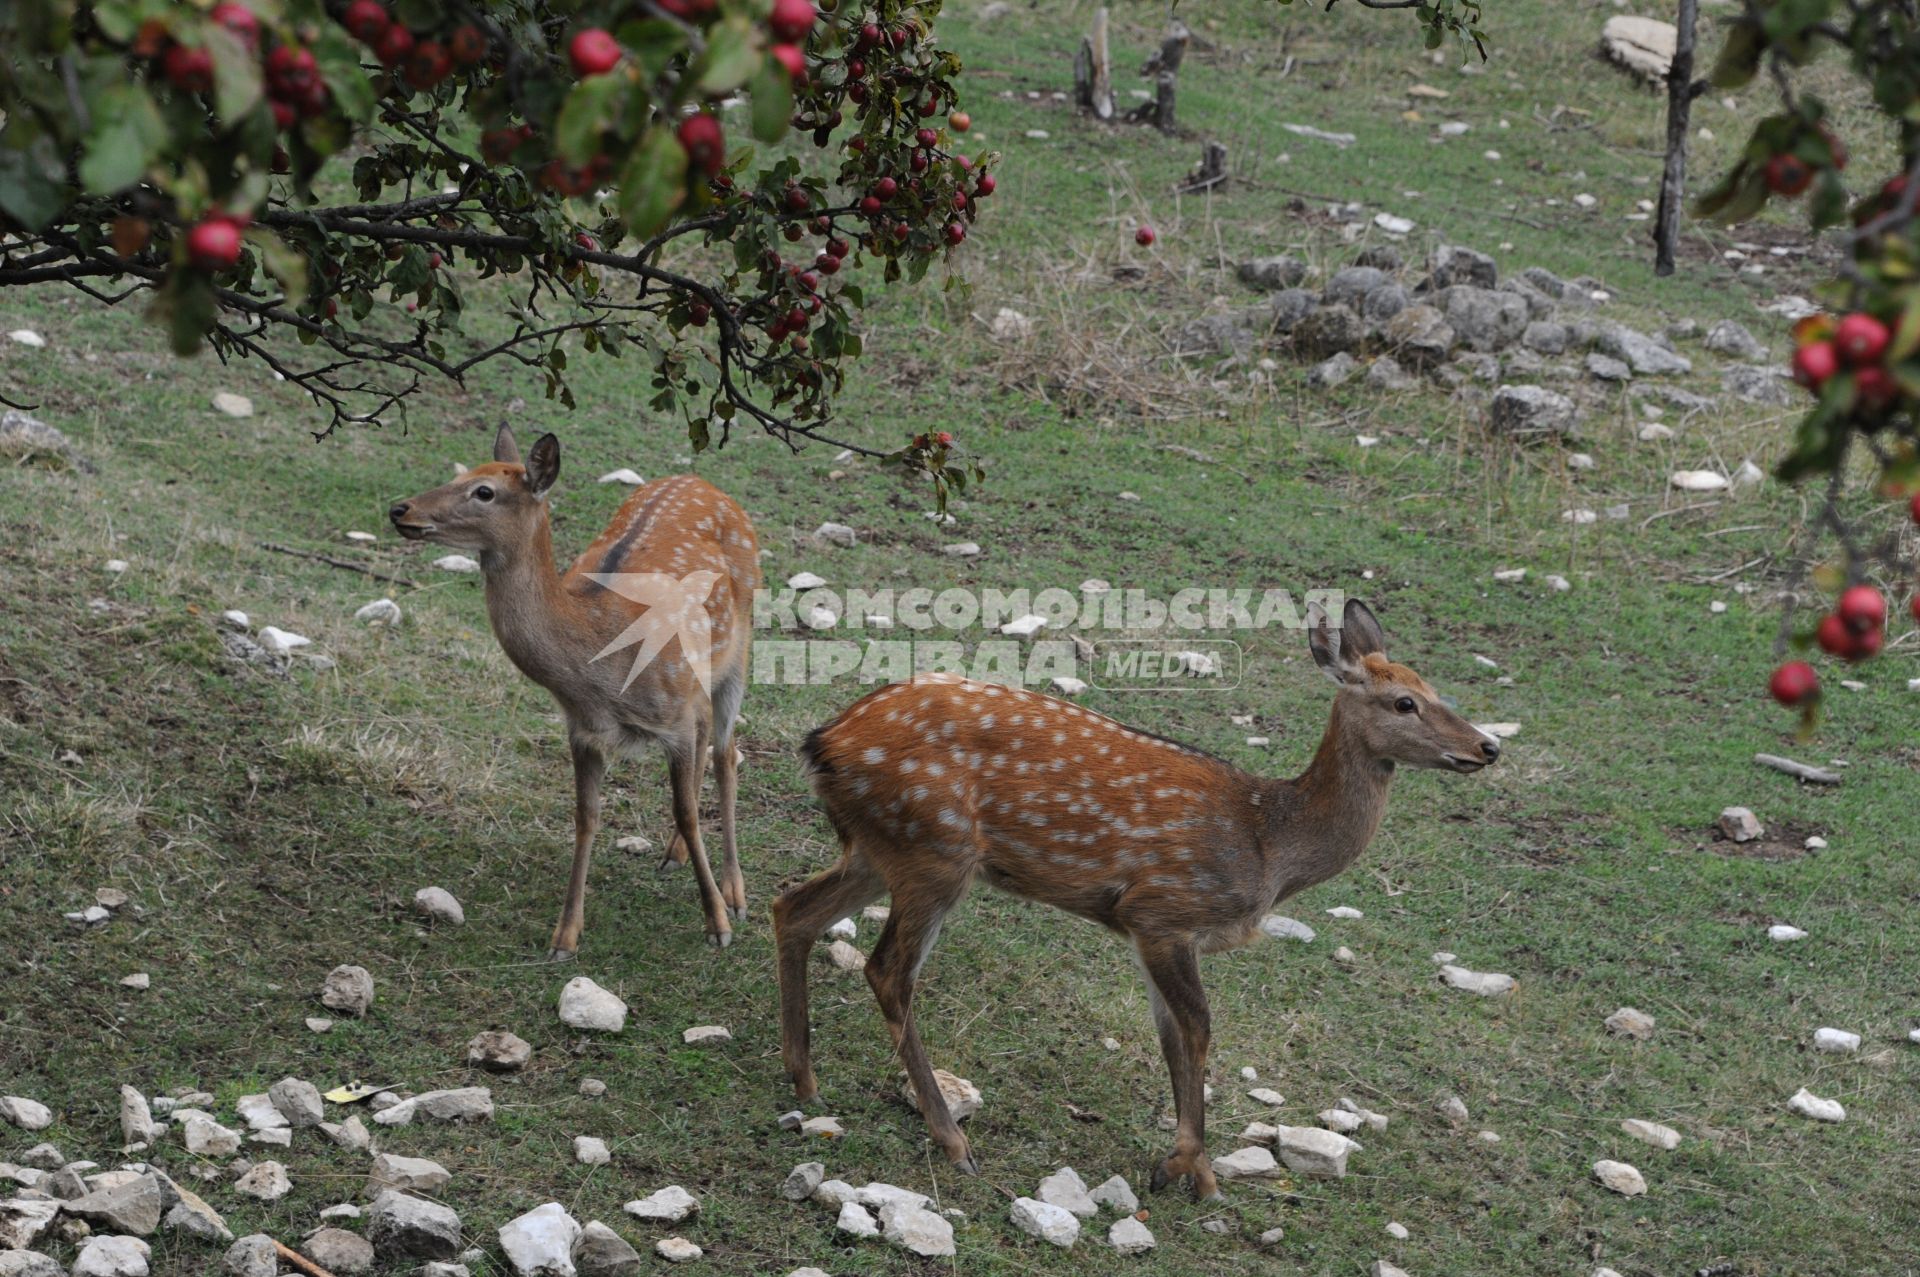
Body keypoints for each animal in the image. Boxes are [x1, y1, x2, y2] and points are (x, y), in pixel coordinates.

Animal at [387, 428, 756, 956]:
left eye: (484, 491)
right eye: (460, 474)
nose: (400, 509)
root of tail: (703, 481)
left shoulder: (674, 718)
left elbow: (685, 810)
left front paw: (718, 924)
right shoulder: (583, 729)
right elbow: (585, 817)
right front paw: (565, 934)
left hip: (740, 645)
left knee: (726, 753)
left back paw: (734, 891)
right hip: (699, 678)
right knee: (711, 741)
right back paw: (677, 855)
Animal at [775, 599, 1497, 1198]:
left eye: (1435, 689)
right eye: (1404, 702)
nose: (1488, 745)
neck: (1268, 846)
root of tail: (822, 742)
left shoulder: (1155, 932)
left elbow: (1172, 1036)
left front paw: (1192, 1168)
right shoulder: (1163, 910)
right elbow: (1199, 1029)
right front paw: (1187, 1167)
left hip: (880, 848)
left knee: (793, 907)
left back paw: (803, 1077)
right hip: (934, 848)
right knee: (886, 969)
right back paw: (952, 1138)